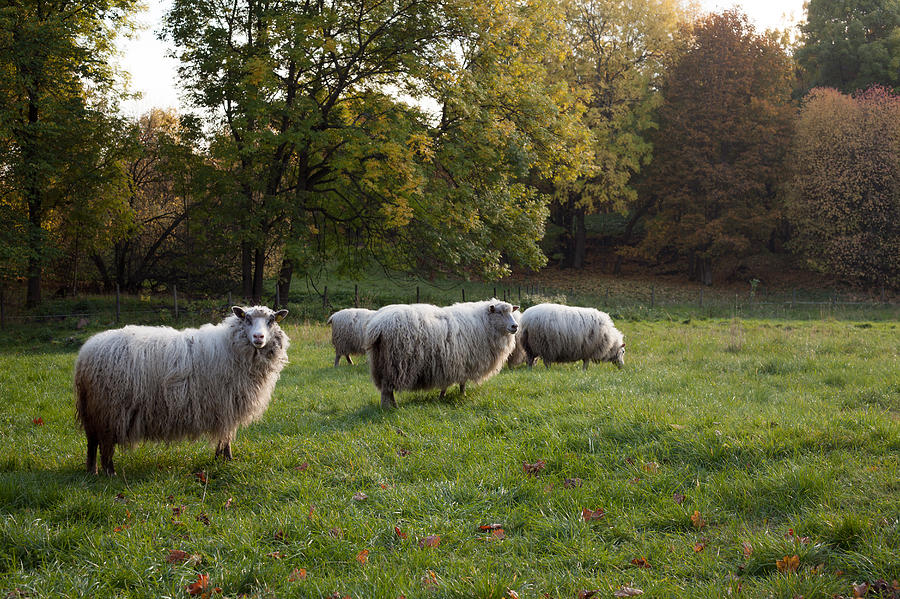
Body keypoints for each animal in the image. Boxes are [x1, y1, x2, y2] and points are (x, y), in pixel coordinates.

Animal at [76, 308, 292, 476]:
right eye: (247, 319)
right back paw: (109, 472)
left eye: (271, 320)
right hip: (110, 408)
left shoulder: (226, 406)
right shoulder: (226, 404)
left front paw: (221, 459)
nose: (258, 337)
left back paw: (92, 471)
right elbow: (226, 435)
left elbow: (225, 435)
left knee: (91, 442)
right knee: (105, 444)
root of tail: (85, 354)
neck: (232, 347)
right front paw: (226, 459)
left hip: (93, 410)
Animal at [366, 298, 520, 410]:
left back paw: (392, 406)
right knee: (387, 389)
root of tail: (377, 326)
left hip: (380, 361)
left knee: (386, 388)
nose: (515, 326)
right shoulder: (460, 361)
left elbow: (452, 382)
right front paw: (460, 395)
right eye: (499, 312)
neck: (483, 323)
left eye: (511, 311)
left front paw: (443, 396)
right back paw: (389, 408)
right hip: (394, 363)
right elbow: (460, 382)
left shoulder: (451, 363)